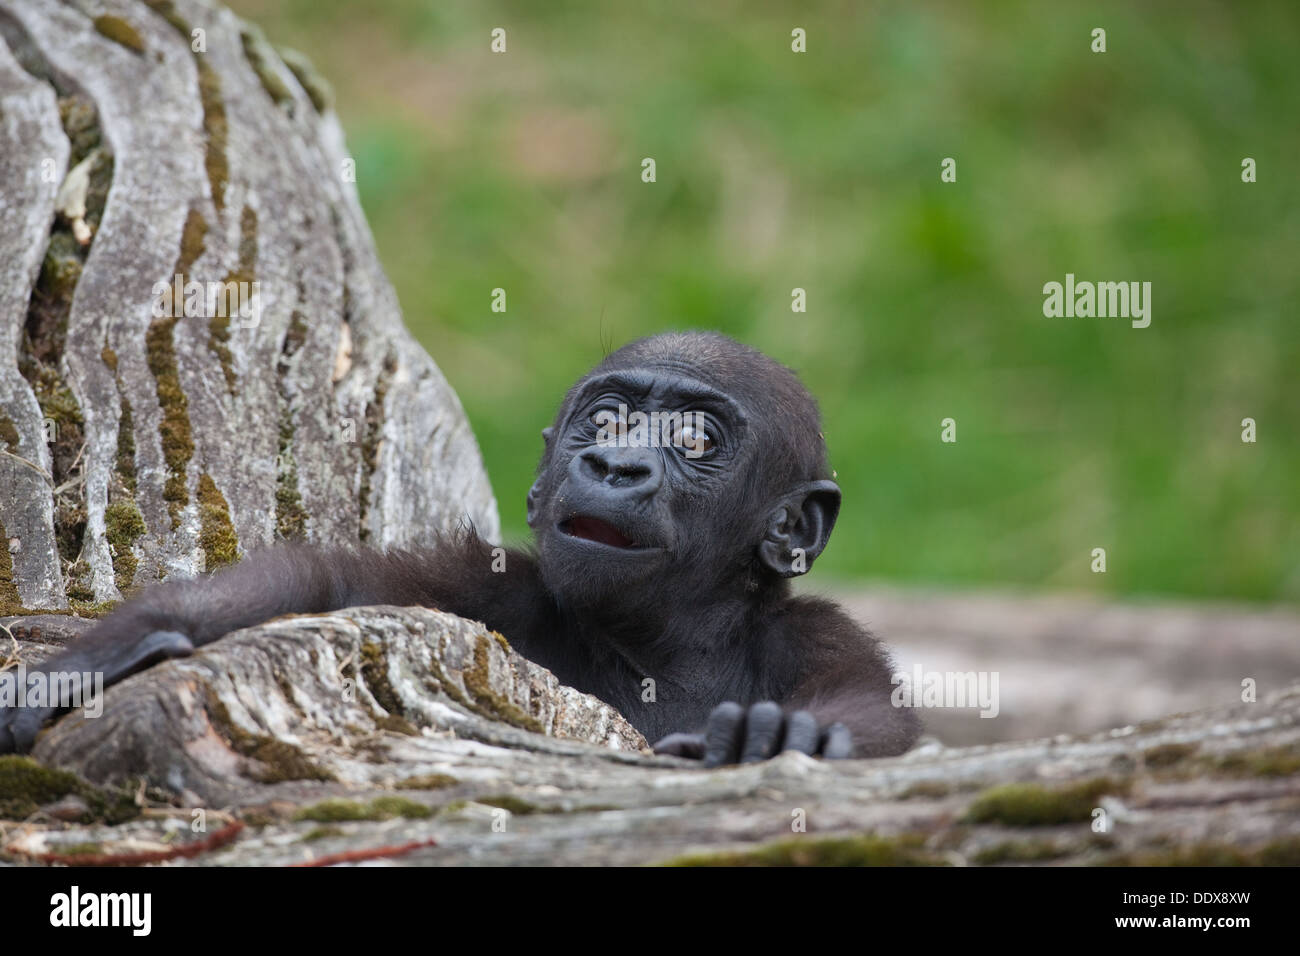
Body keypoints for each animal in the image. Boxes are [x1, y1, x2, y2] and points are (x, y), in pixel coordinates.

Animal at [0, 332, 920, 764]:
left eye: (694, 439)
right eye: (606, 421)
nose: (614, 465)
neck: (665, 639)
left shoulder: (819, 631)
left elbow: (869, 709)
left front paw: (785, 735)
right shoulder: (491, 589)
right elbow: (339, 585)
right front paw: (112, 648)